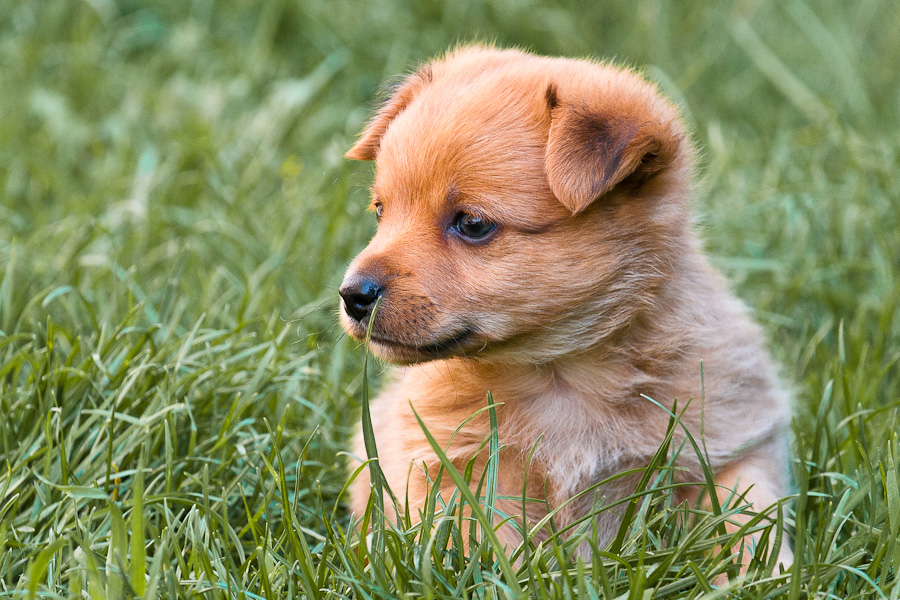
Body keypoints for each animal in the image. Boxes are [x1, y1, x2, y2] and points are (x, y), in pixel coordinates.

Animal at [342, 47, 792, 568]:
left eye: (472, 224)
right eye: (381, 210)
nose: (352, 295)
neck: (560, 374)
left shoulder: (732, 440)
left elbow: (748, 524)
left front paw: (770, 573)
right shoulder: (452, 469)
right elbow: (478, 545)